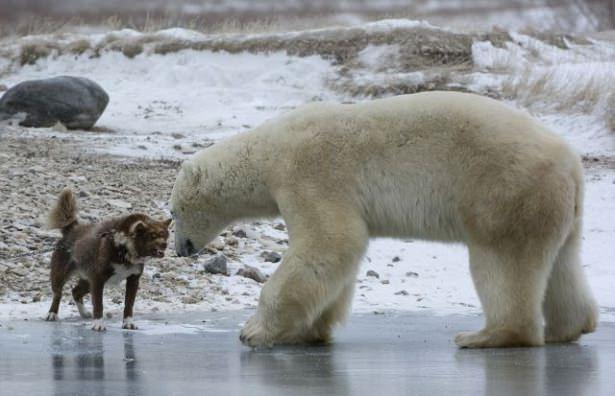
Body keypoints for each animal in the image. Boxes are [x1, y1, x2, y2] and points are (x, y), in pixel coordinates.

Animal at [45, 189, 171, 332]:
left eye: (164, 235)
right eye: (152, 235)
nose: (164, 244)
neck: (124, 248)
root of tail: (72, 228)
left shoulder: (133, 280)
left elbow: (129, 304)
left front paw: (128, 323)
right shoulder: (98, 279)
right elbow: (98, 304)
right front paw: (98, 324)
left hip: (88, 279)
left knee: (75, 291)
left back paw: (84, 313)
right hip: (61, 274)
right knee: (58, 294)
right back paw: (52, 314)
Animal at [171, 91, 600, 348]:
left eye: (173, 211)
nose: (179, 249)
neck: (269, 151)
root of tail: (572, 165)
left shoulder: (310, 174)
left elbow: (329, 243)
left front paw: (252, 330)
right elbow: (337, 260)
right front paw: (309, 330)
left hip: (505, 193)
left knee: (501, 262)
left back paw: (486, 335)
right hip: (556, 207)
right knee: (562, 263)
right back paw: (570, 328)